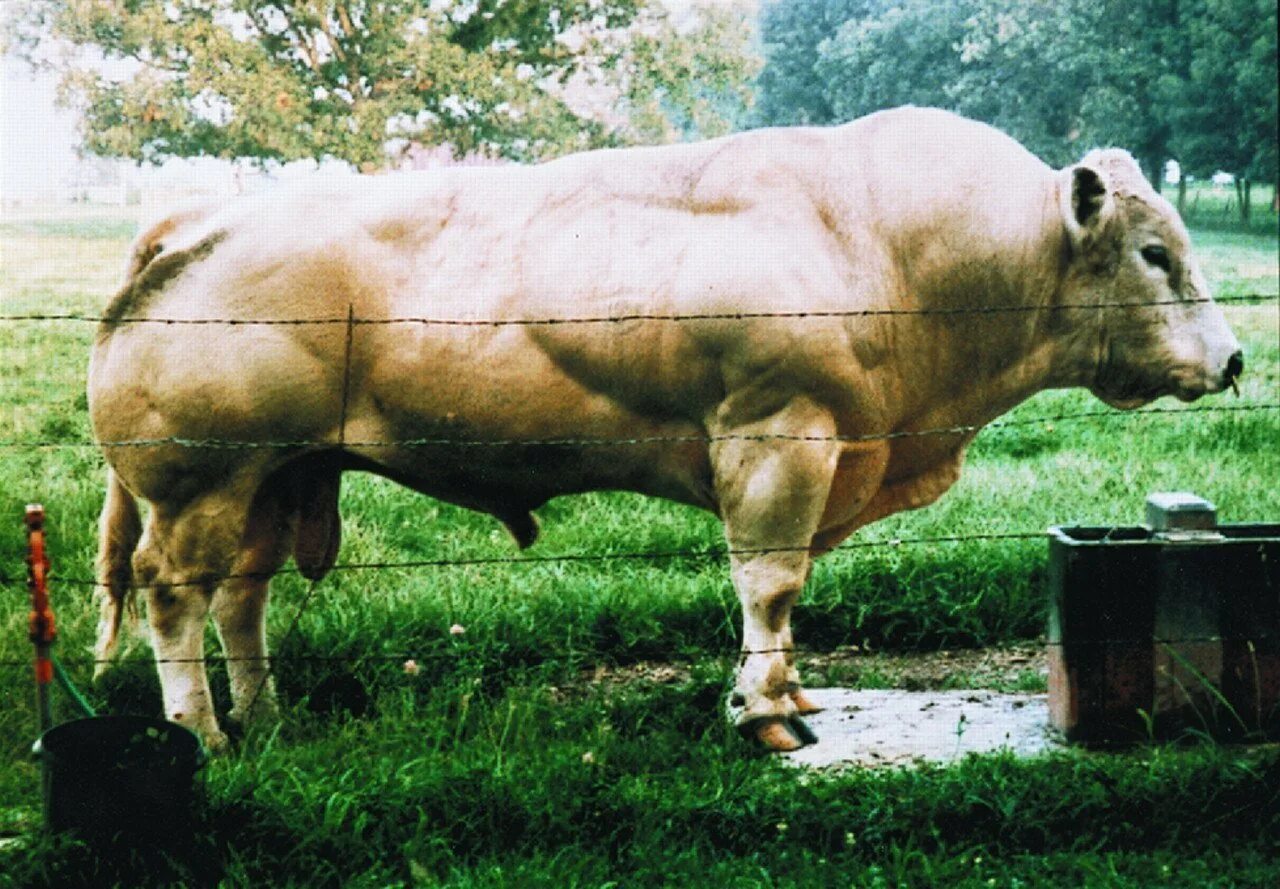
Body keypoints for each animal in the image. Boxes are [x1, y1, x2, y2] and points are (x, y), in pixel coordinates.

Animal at [87, 108, 1239, 752]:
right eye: (1152, 252)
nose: (1231, 360)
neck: (888, 245)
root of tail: (196, 220)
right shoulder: (779, 440)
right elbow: (769, 584)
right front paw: (763, 711)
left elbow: (783, 598)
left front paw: (789, 691)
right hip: (199, 485)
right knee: (175, 596)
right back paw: (202, 733)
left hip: (275, 479)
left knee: (242, 597)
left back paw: (264, 714)